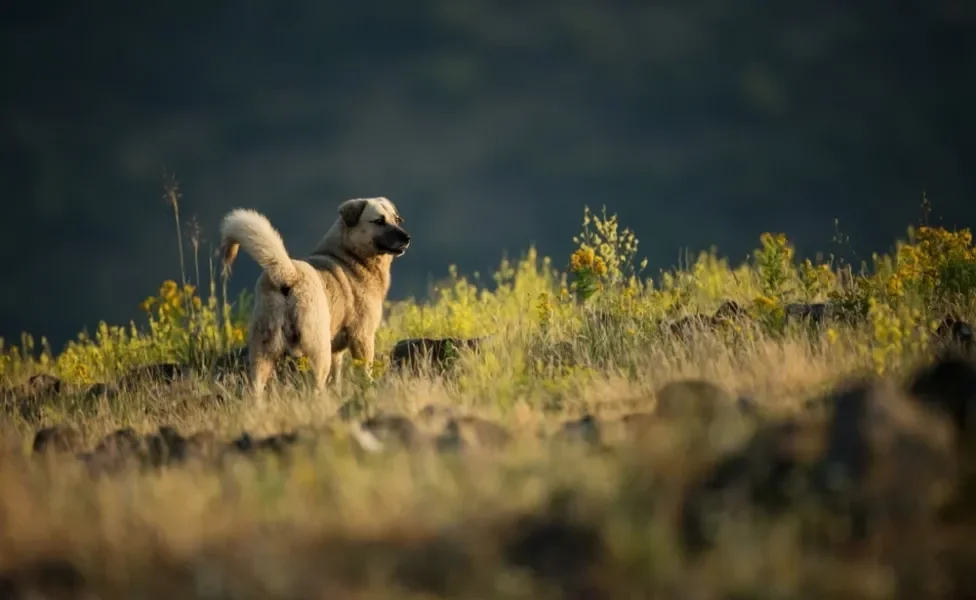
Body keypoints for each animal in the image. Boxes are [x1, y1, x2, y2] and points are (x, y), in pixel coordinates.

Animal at [219, 198, 410, 404]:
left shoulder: (337, 352)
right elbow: (365, 373)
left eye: (396, 219)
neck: (350, 257)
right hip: (318, 352)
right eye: (379, 221)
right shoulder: (362, 337)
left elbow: (336, 377)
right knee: (316, 388)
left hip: (262, 354)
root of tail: (289, 275)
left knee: (255, 390)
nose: (407, 238)